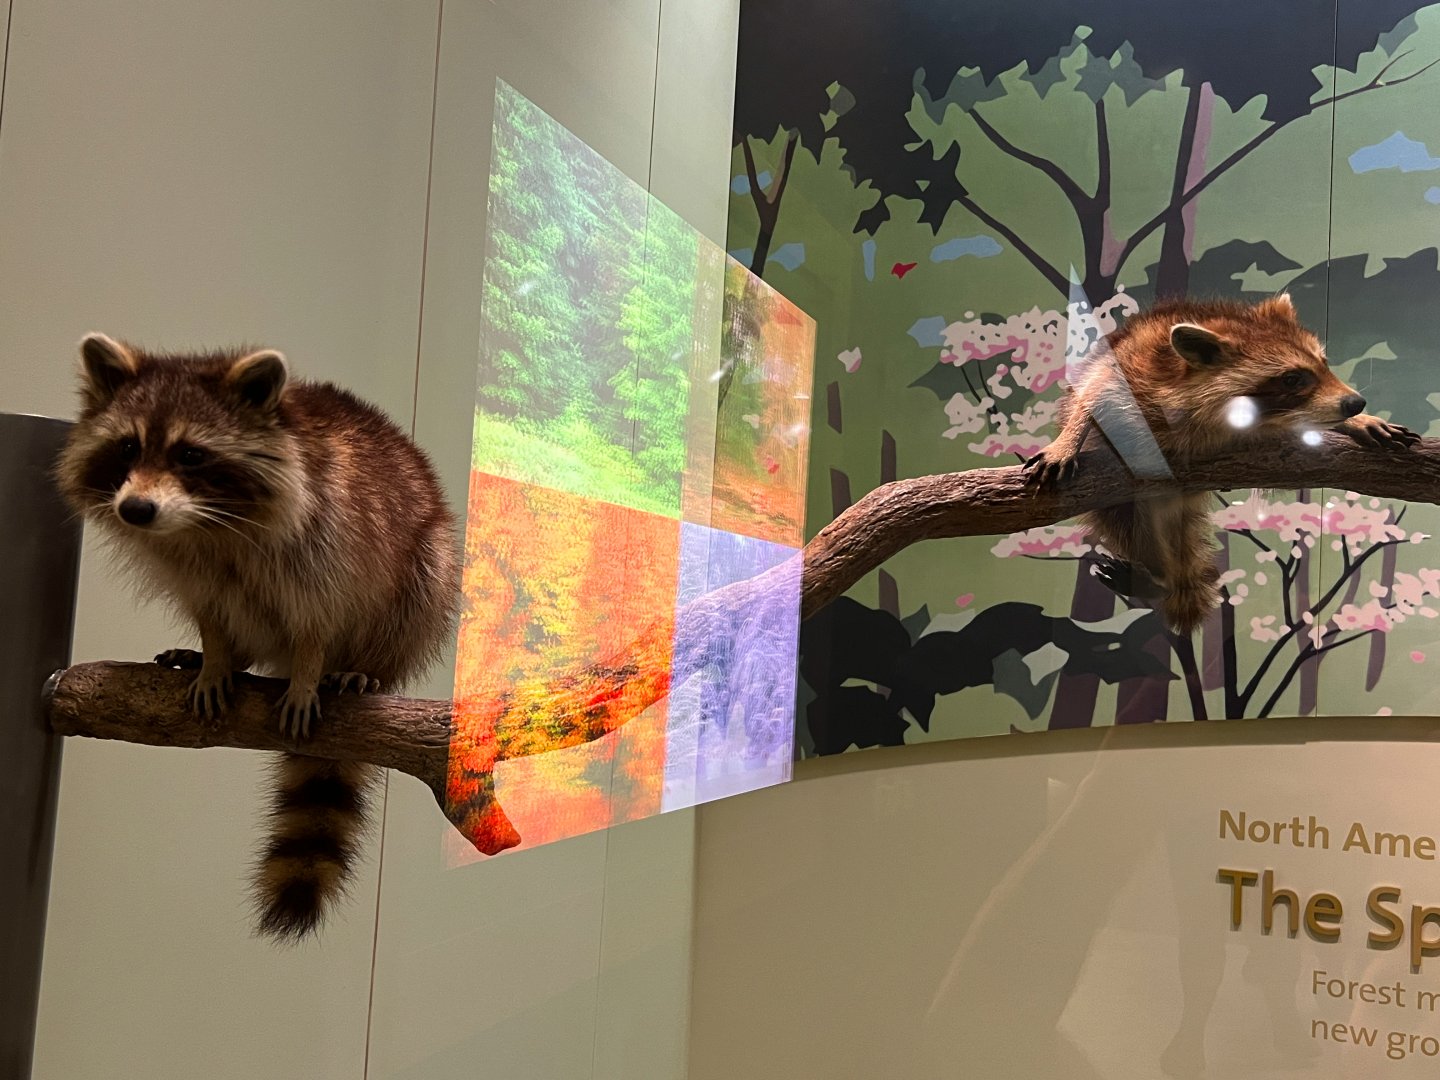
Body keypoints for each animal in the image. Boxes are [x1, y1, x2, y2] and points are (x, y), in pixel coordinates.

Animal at [57, 333, 459, 941]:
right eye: (127, 447)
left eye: (190, 454)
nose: (136, 509)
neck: (204, 522)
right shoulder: (188, 564)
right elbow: (209, 610)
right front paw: (217, 657)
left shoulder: (329, 535)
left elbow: (319, 614)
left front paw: (310, 669)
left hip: (428, 564)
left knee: (419, 587)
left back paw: (361, 666)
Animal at [1025, 294, 1418, 633]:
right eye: (1293, 378)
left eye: (1324, 363)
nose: (1354, 403)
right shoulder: (1131, 364)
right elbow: (1092, 392)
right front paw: (1067, 439)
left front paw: (1356, 422)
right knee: (1127, 526)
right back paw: (1159, 575)